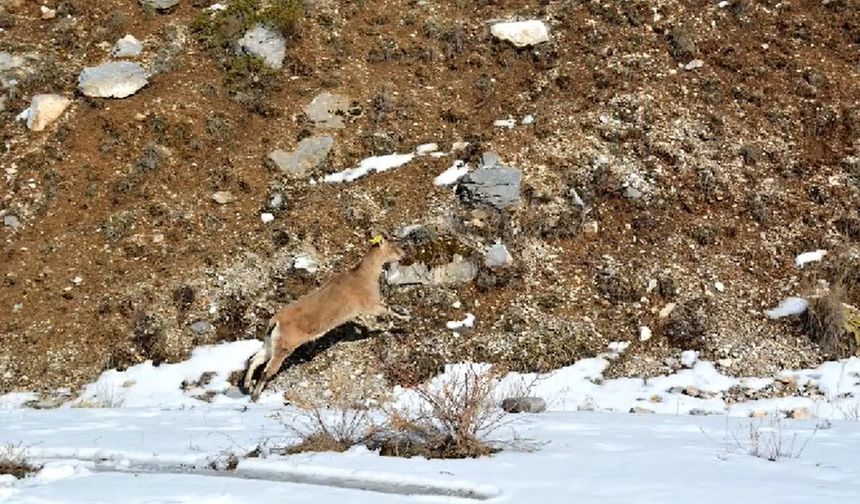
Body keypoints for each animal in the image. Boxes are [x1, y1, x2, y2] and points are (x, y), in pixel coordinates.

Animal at [245, 236, 410, 402]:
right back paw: (255, 395)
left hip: (271, 342)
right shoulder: (370, 305)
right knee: (267, 370)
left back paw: (247, 385)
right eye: (392, 247)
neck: (365, 276)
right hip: (284, 347)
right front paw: (405, 318)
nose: (404, 254)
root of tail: (275, 322)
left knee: (256, 359)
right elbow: (387, 310)